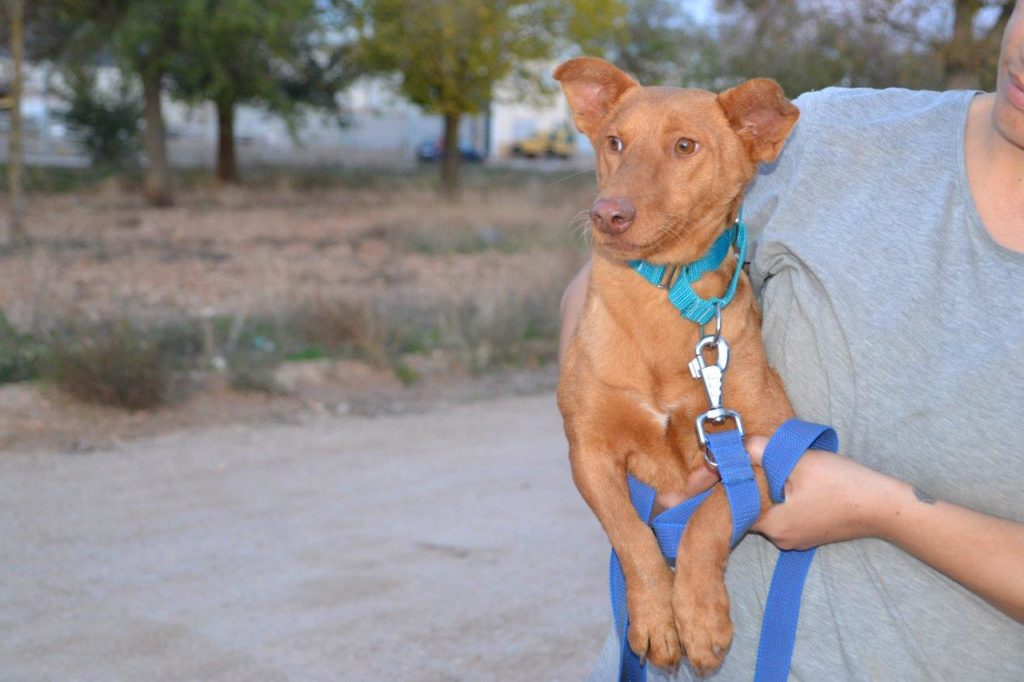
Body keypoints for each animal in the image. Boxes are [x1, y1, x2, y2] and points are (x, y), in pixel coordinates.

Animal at [552, 57, 798, 667]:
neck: (663, 297)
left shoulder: (767, 446)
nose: (606, 214)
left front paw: (699, 615)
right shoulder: (588, 451)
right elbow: (631, 534)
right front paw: (656, 617)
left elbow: (709, 519)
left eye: (685, 146)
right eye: (614, 142)